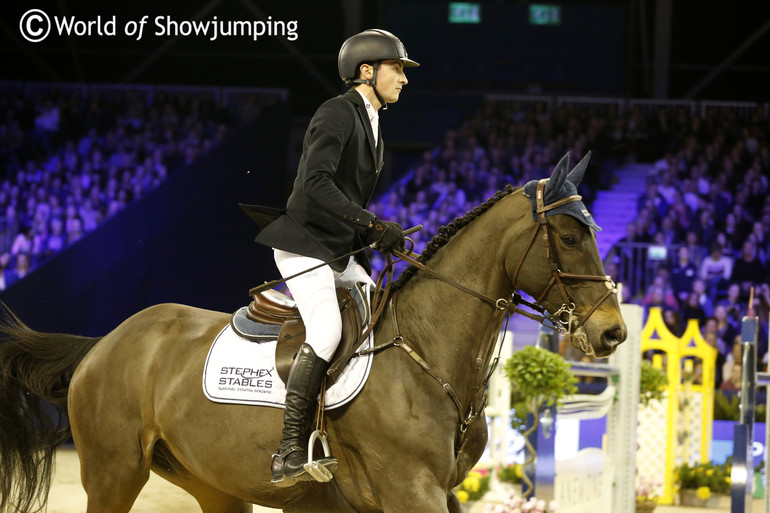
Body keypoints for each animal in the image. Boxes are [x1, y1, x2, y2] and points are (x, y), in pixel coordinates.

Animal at [0, 153, 624, 512]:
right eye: (570, 239)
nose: (613, 334)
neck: (426, 355)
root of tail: (102, 344)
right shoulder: (410, 490)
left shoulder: (438, 492)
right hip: (113, 473)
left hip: (214, 484)